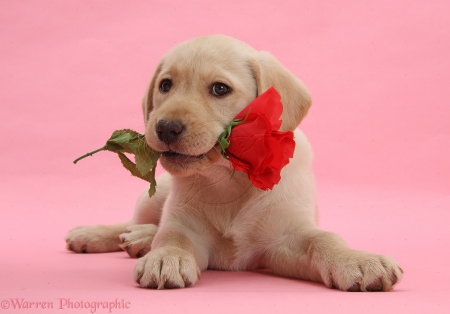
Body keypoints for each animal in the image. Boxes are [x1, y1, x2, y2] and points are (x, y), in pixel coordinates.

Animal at [67, 33, 404, 290]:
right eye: (165, 85)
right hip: (155, 195)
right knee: (136, 222)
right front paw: (165, 257)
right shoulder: (186, 224)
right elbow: (172, 234)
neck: (228, 179)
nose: (165, 128)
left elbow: (324, 239)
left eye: (220, 88)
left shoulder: (285, 239)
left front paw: (357, 260)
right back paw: (101, 234)